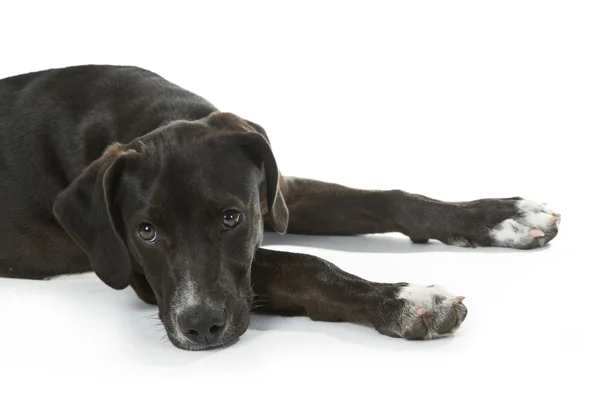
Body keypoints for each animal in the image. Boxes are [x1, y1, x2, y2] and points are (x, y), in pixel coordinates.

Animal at [0, 65, 560, 350]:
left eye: (232, 218)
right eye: (145, 232)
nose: (200, 328)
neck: (156, 114)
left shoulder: (276, 194)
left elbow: (392, 200)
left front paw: (498, 217)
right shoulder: (139, 274)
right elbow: (305, 266)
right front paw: (404, 298)